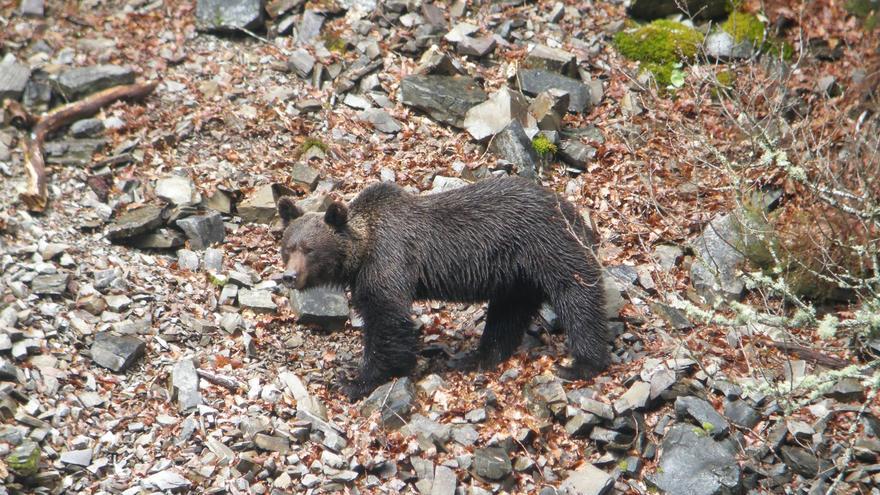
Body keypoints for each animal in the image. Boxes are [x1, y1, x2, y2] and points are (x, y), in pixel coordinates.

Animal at [278, 176, 608, 402]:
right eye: (287, 247)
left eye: (309, 249)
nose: (289, 276)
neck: (362, 251)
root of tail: (572, 210)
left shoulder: (389, 260)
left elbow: (388, 320)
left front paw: (355, 381)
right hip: (516, 276)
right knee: (507, 313)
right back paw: (478, 357)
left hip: (546, 245)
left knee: (577, 294)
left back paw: (582, 364)